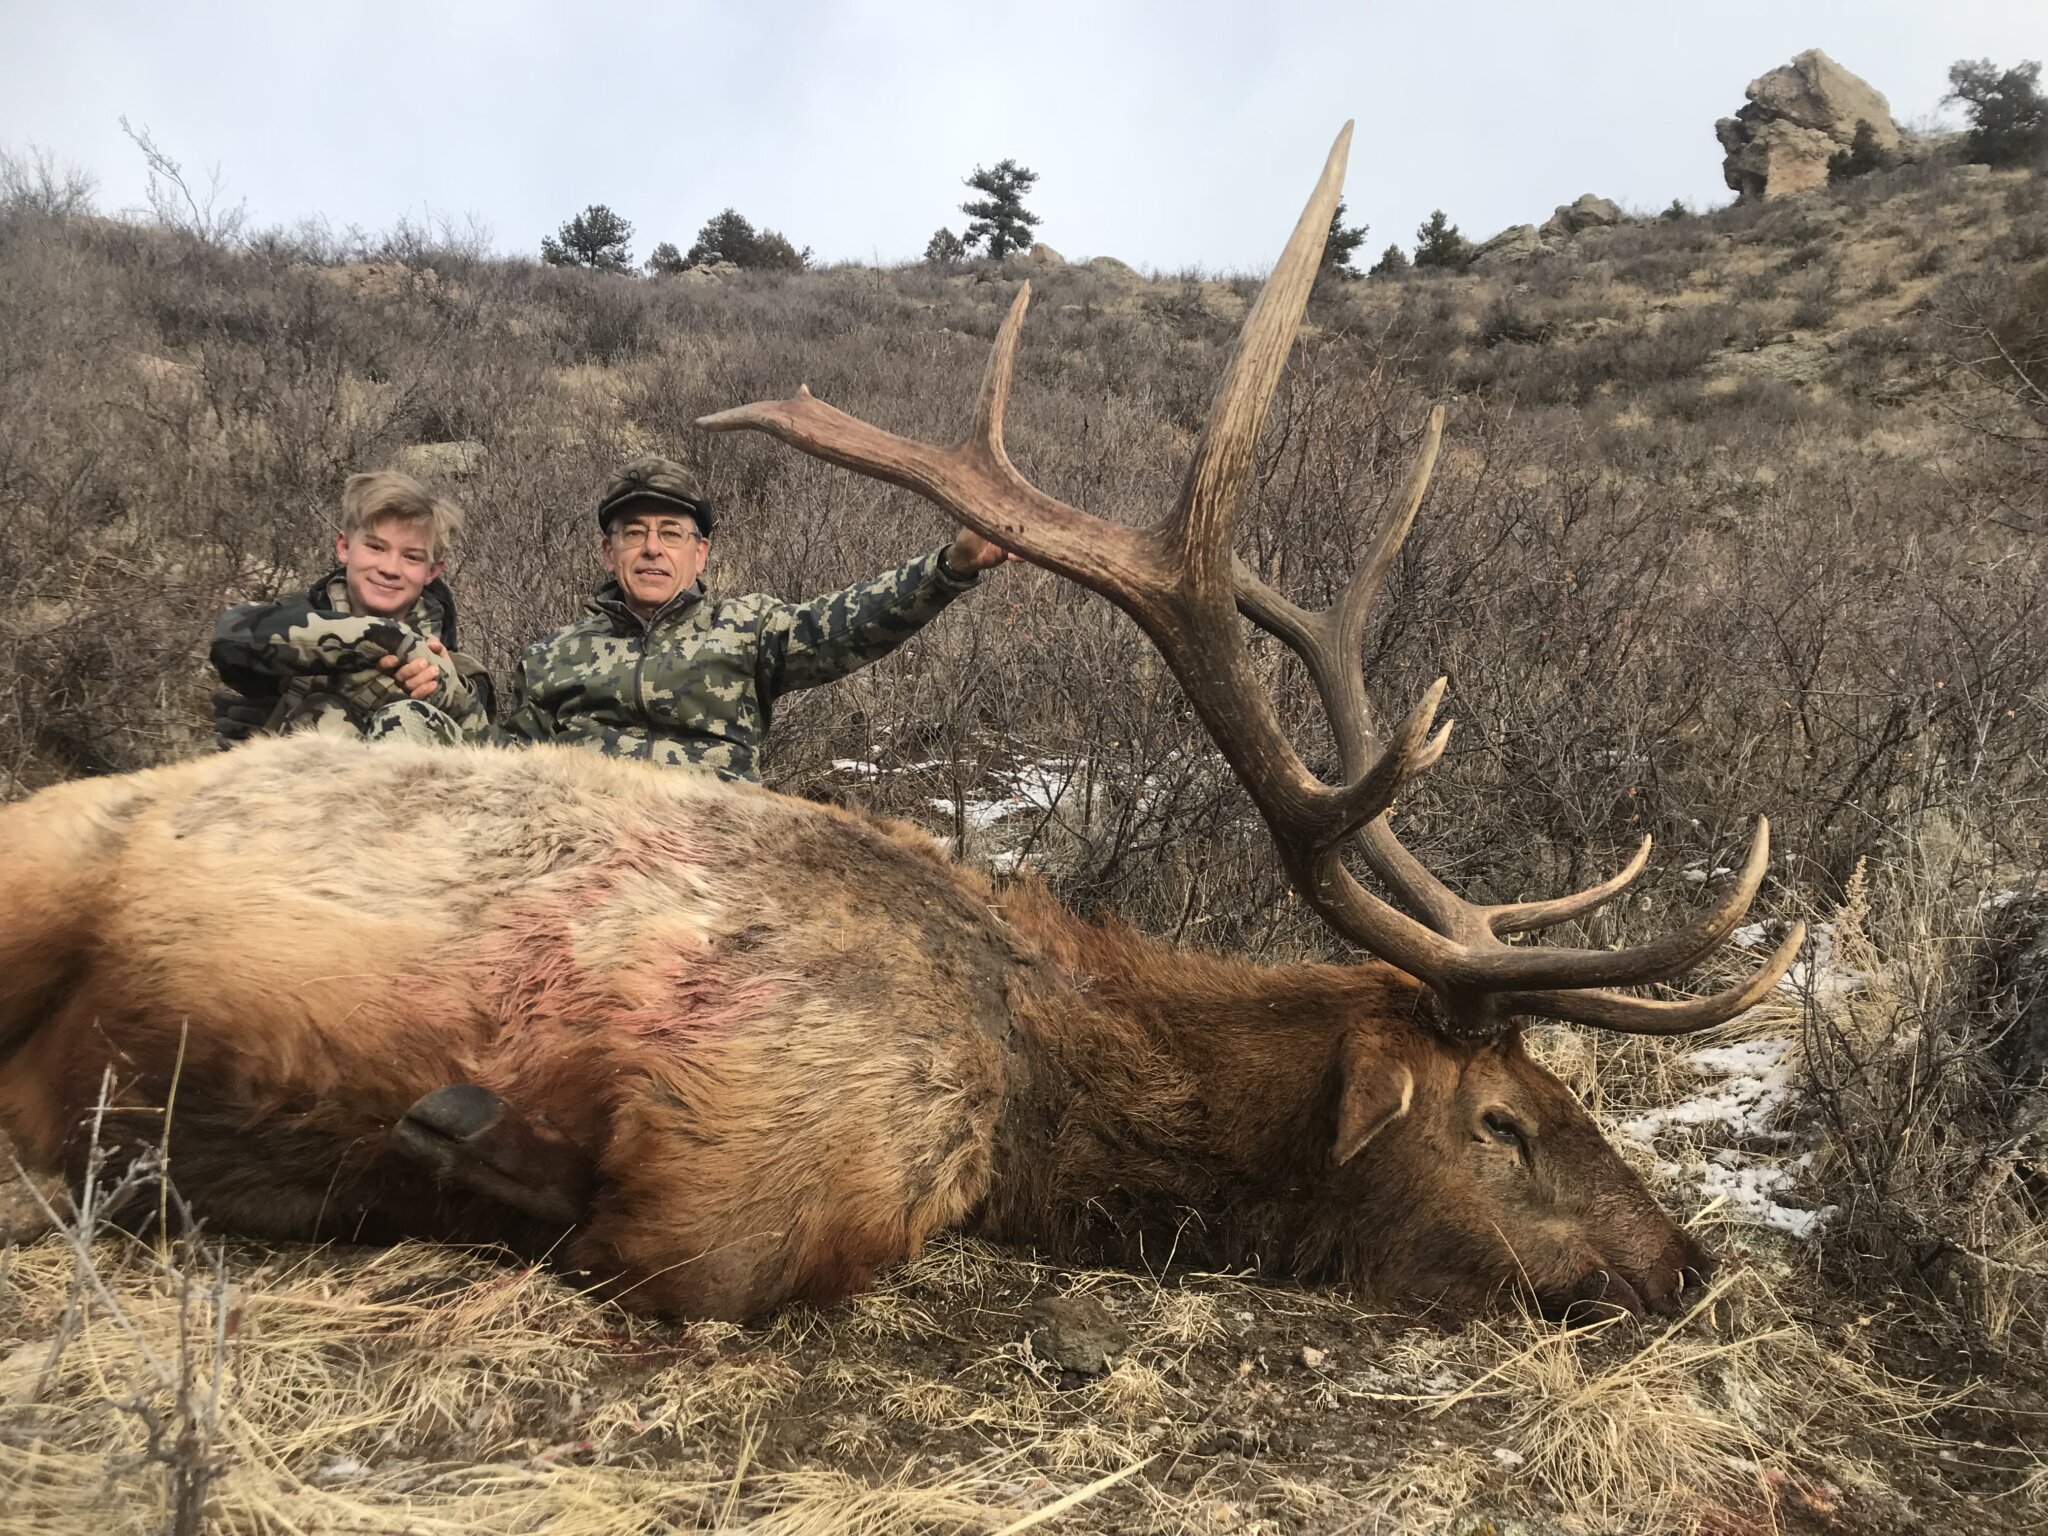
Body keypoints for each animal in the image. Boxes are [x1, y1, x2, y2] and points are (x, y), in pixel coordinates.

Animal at [0, 125, 1802, 1323]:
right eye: (1505, 1122)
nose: (1685, 1261)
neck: (1050, 1100)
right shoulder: (754, 1166)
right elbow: (672, 1254)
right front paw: (412, 1141)